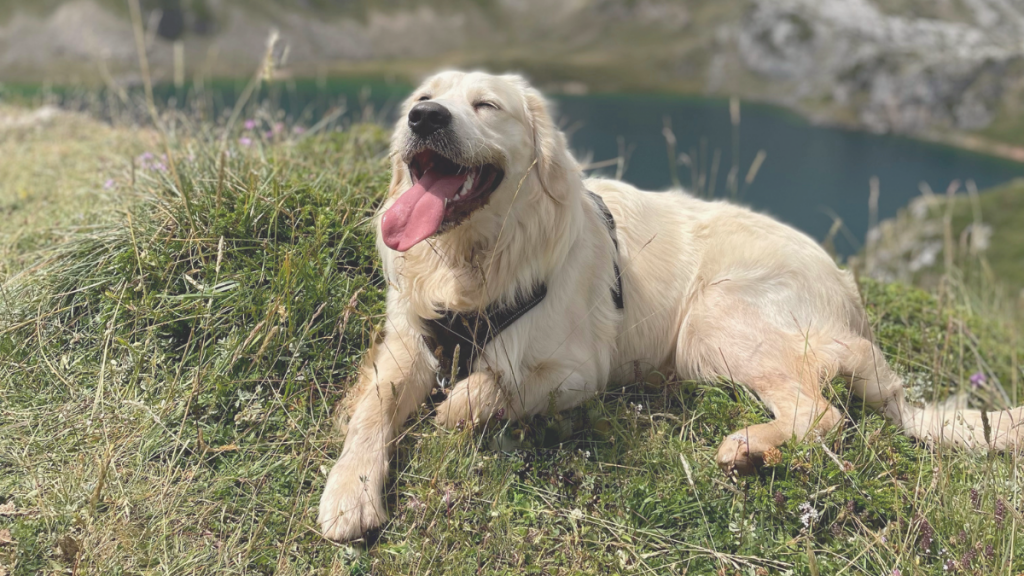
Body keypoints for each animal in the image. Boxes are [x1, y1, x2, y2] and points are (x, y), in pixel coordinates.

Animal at [315, 70, 1019, 537]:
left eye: (486, 105)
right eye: (422, 99)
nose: (425, 119)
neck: (472, 261)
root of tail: (849, 295)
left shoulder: (577, 371)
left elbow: (481, 392)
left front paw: (451, 410)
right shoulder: (408, 341)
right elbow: (374, 411)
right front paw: (350, 491)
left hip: (713, 318)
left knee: (821, 412)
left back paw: (751, 448)